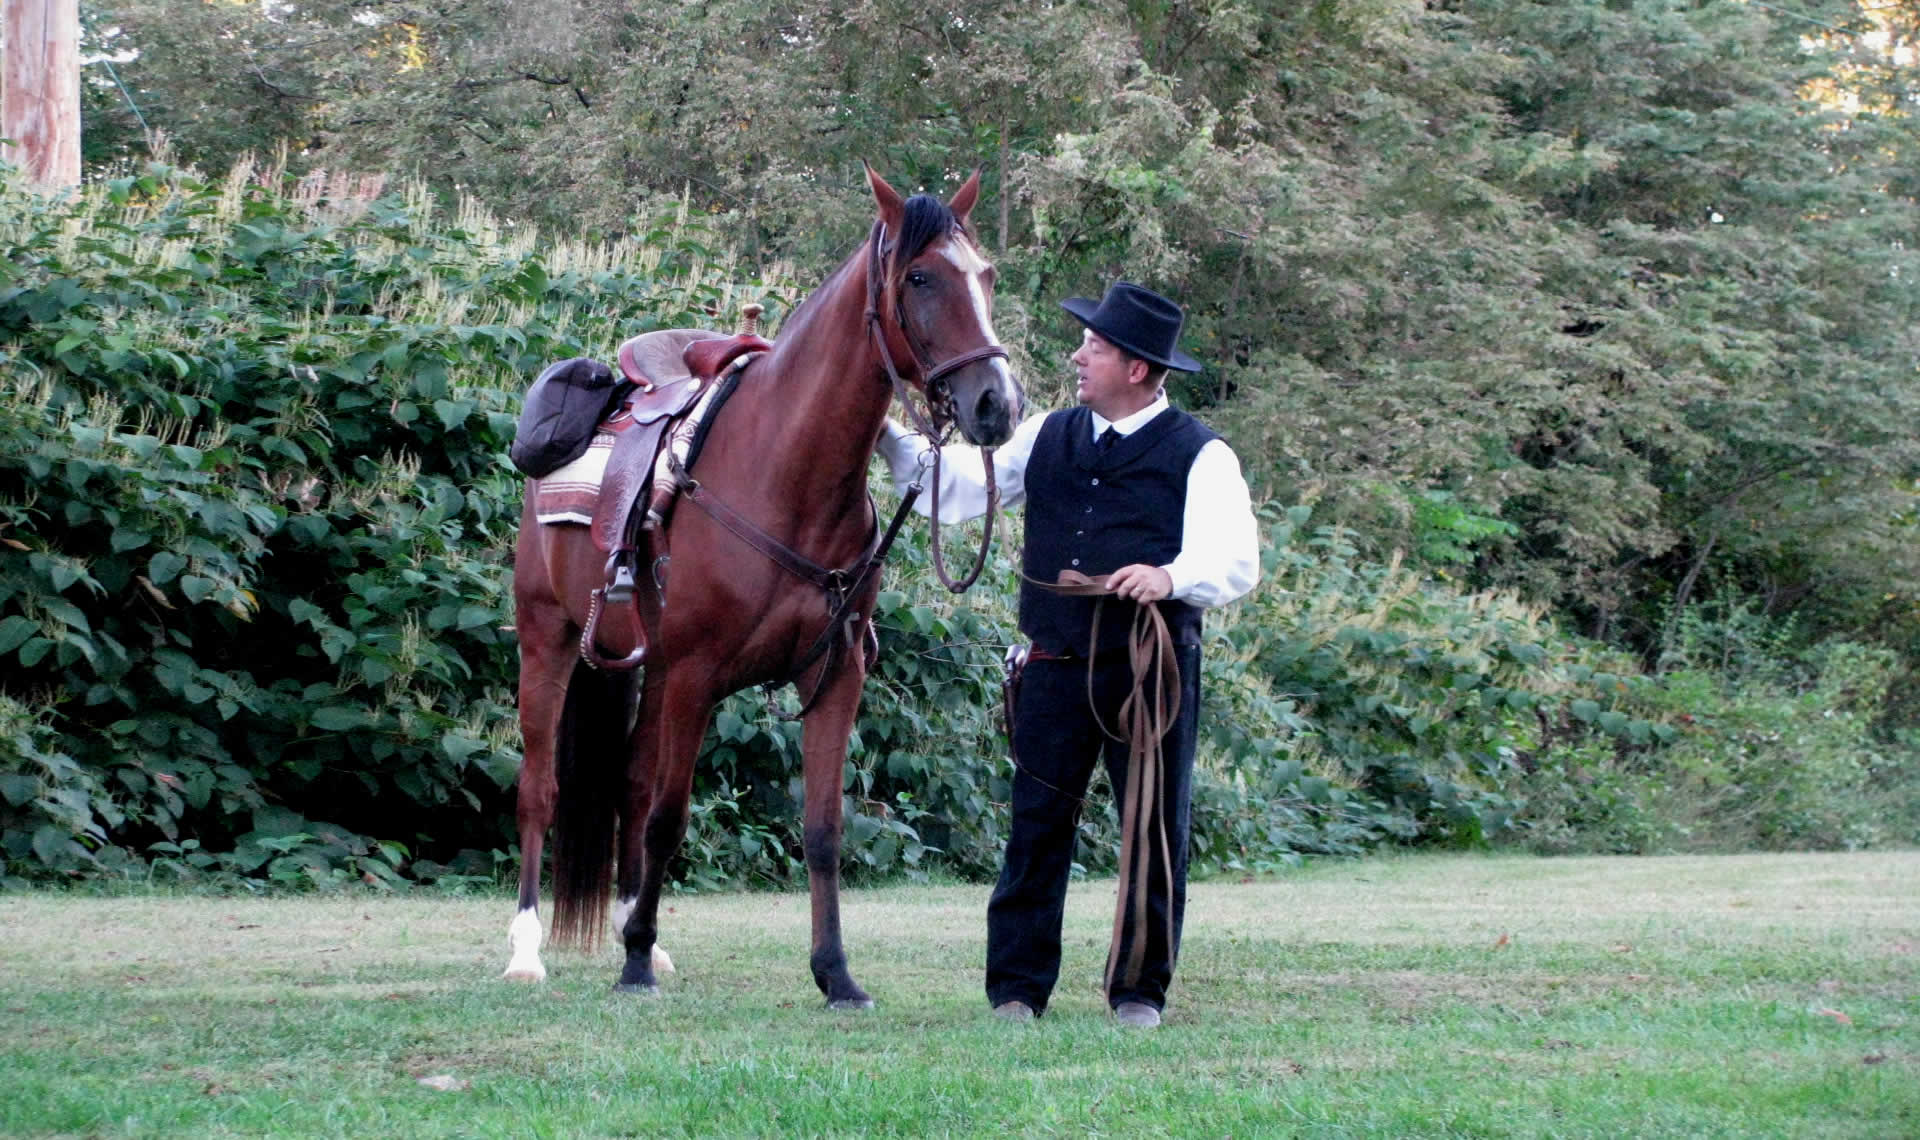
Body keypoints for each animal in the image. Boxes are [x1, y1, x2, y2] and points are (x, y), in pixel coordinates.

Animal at [503, 166, 1022, 1007]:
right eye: (919, 277)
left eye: (986, 275)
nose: (996, 404)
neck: (788, 471)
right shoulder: (695, 676)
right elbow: (670, 819)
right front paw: (635, 963)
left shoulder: (834, 676)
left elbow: (821, 831)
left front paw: (835, 974)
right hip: (548, 642)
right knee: (541, 789)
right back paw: (528, 949)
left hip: (640, 664)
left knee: (628, 785)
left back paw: (631, 927)